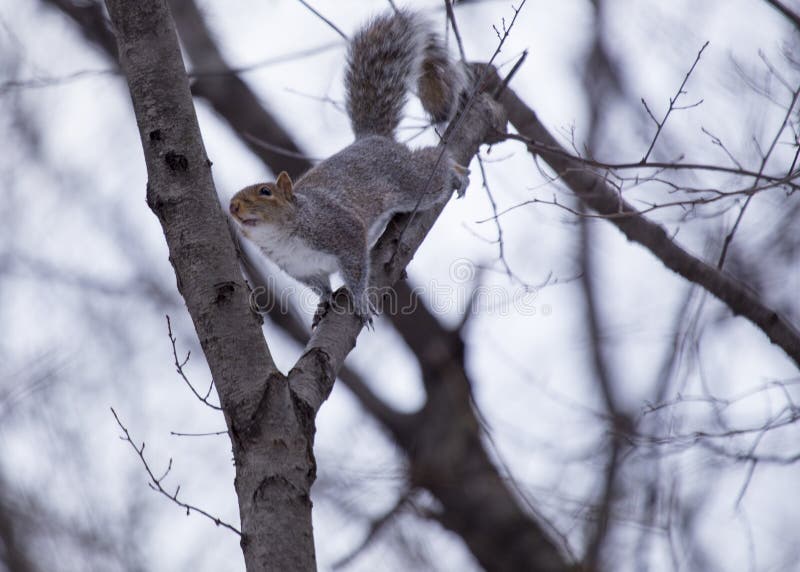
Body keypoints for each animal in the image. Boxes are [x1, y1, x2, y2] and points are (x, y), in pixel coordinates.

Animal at [228, 8, 482, 324]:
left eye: (265, 191)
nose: (233, 207)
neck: (285, 236)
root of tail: (370, 138)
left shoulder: (343, 232)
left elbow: (357, 271)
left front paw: (360, 301)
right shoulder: (302, 270)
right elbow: (320, 287)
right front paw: (323, 303)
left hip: (411, 182)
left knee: (432, 162)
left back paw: (456, 172)